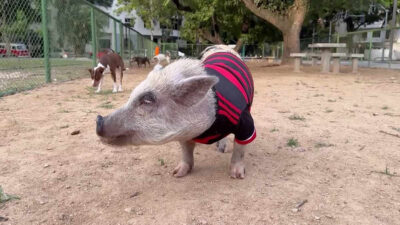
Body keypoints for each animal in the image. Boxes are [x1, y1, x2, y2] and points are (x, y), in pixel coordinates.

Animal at [95, 45, 255, 179]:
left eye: (147, 100)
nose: (99, 120)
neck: (205, 131)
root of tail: (223, 47)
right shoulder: (184, 134)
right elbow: (186, 151)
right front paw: (176, 173)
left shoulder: (245, 122)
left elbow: (240, 148)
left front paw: (237, 176)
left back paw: (222, 150)